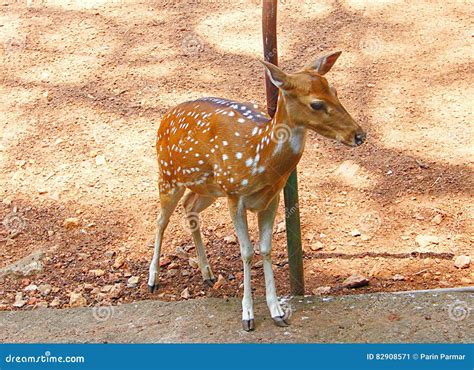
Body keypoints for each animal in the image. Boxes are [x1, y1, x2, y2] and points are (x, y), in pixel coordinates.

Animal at [148, 51, 366, 330]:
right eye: (316, 104)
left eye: (335, 90)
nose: (359, 135)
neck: (259, 156)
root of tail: (165, 116)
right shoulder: (234, 195)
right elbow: (247, 252)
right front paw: (248, 315)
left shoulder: (271, 199)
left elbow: (265, 248)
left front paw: (277, 312)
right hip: (167, 174)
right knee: (161, 220)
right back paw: (153, 280)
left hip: (208, 187)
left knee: (189, 206)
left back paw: (207, 273)